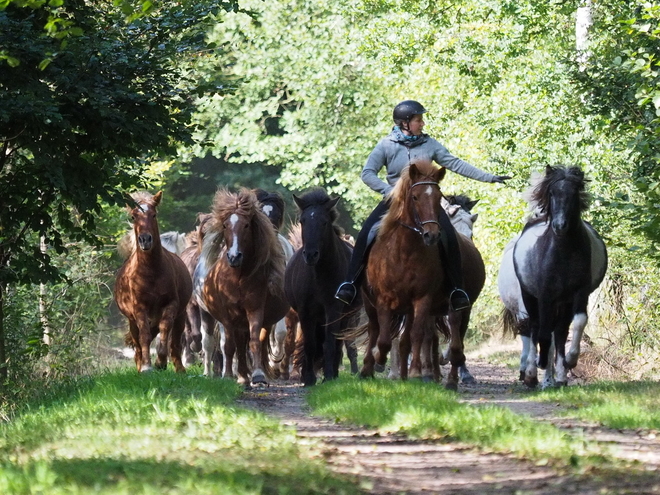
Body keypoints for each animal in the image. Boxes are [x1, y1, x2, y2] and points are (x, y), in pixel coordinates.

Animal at [112, 192, 191, 374]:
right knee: (138, 343)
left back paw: (179, 369)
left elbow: (165, 330)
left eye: (154, 215)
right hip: (133, 320)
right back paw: (140, 364)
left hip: (181, 315)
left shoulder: (171, 304)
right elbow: (145, 336)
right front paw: (147, 366)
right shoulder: (139, 308)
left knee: (174, 341)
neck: (151, 272)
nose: (145, 240)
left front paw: (160, 362)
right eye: (134, 216)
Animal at [196, 188, 288, 386]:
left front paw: (258, 375)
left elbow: (254, 341)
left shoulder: (255, 309)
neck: (237, 277)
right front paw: (230, 375)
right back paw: (240, 375)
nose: (234, 256)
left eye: (246, 225)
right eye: (225, 226)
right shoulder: (227, 314)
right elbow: (230, 345)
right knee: (235, 344)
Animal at [282, 188, 358, 386]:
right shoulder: (305, 311)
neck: (318, 275)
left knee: (338, 343)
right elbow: (309, 344)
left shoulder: (333, 309)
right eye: (303, 221)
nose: (310, 254)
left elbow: (330, 343)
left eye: (324, 222)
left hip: (346, 316)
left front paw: (329, 376)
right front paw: (308, 378)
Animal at [360, 159, 484, 392]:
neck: (405, 252)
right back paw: (370, 369)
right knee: (375, 330)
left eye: (437, 197)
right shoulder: (384, 300)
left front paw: (419, 373)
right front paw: (382, 362)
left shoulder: (424, 299)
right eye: (415, 197)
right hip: (370, 303)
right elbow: (385, 339)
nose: (431, 235)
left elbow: (420, 335)